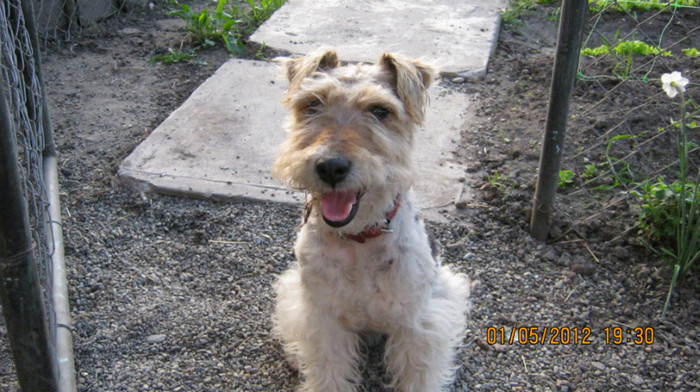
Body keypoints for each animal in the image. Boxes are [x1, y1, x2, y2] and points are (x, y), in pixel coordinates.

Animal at [270, 49, 474, 392]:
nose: (330, 166)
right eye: (312, 103)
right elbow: (328, 370)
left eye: (380, 110)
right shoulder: (322, 319)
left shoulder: (416, 322)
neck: (359, 238)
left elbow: (417, 372)